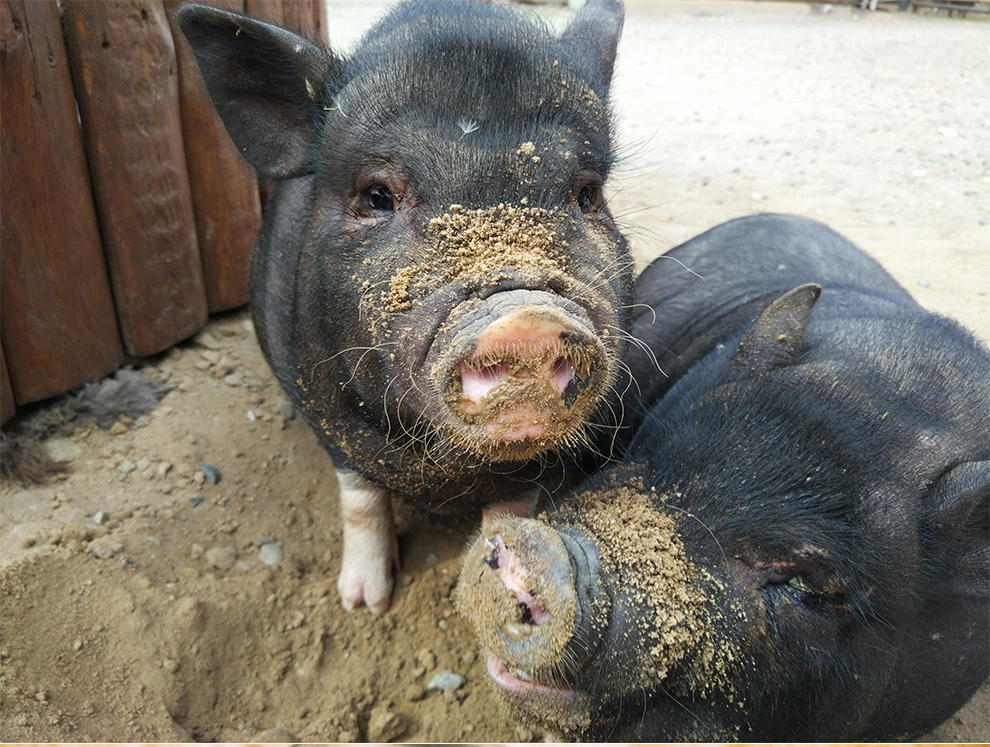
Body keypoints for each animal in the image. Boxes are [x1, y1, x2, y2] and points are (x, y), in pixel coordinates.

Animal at [176, 0, 636, 612]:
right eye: (377, 195)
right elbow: (360, 498)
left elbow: (509, 514)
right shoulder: (326, 413)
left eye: (587, 194)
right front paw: (364, 604)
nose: (527, 316)